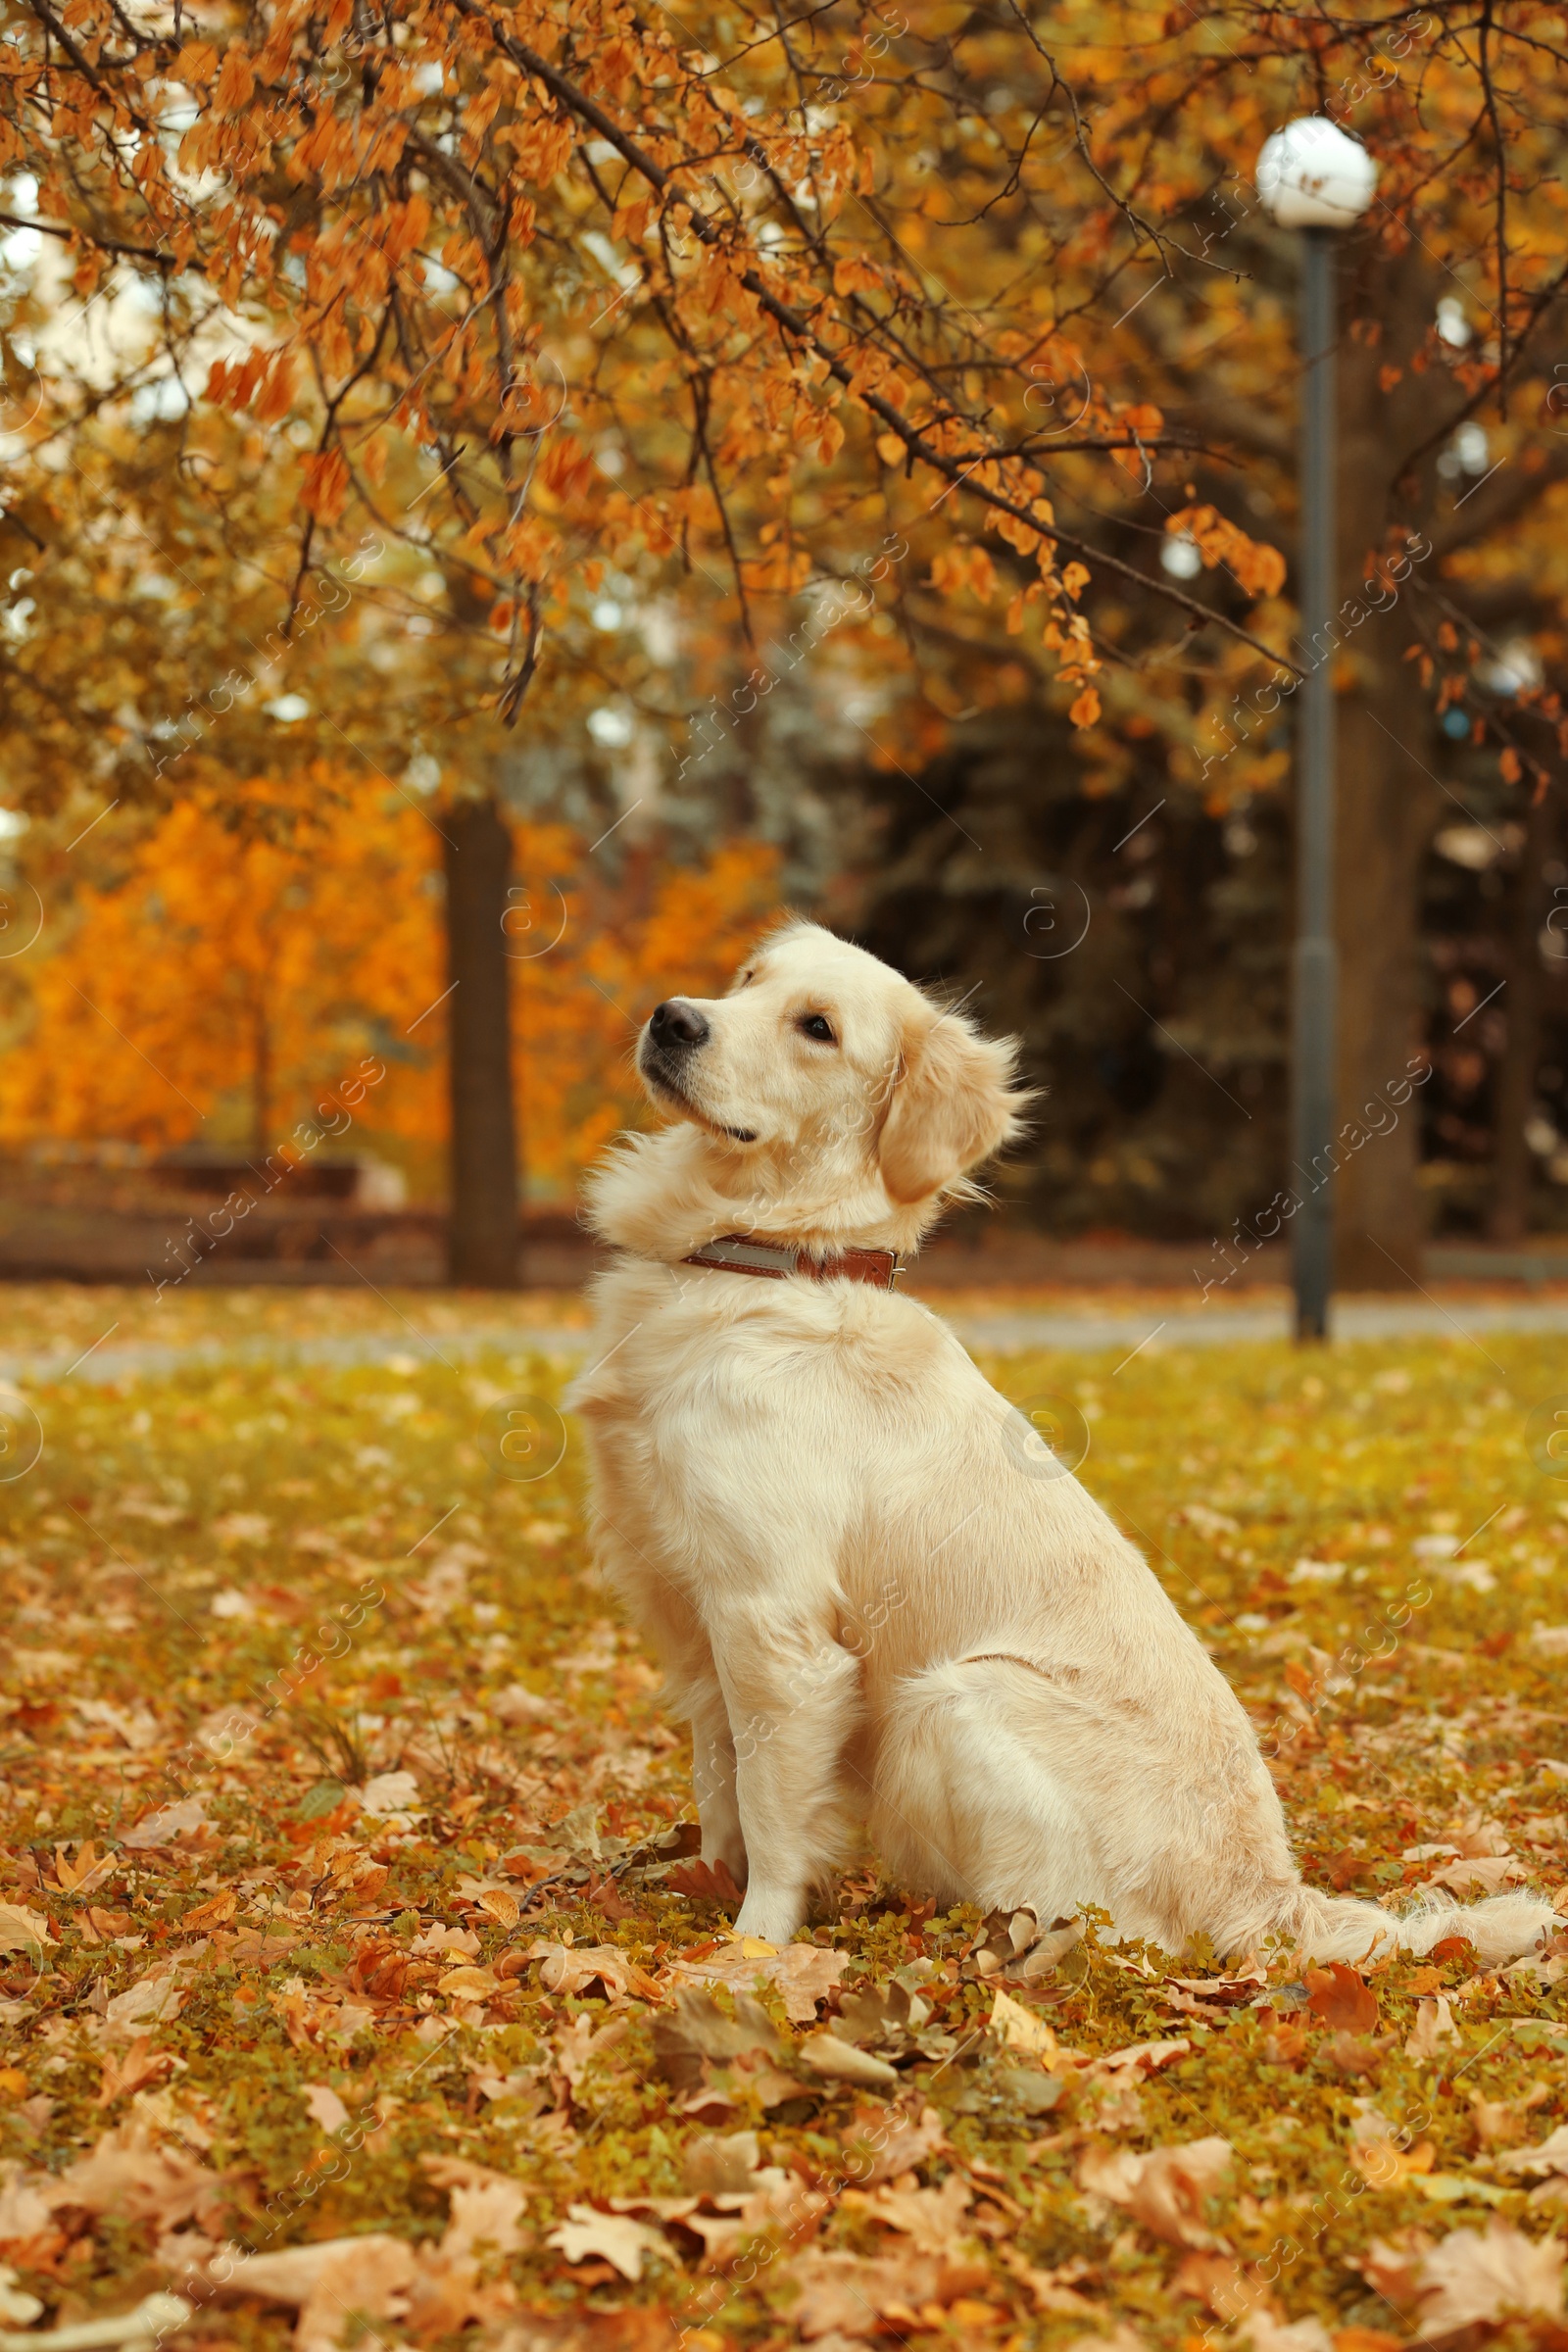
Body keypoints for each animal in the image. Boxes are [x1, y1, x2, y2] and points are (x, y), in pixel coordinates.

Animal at [566, 921, 1560, 1966]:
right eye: (748, 979)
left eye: (817, 1028)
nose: (674, 1020)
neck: (771, 1262)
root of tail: (1269, 1896)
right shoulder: (689, 1602)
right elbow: (718, 1775)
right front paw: (704, 1885)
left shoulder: (772, 1621)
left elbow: (768, 1805)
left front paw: (752, 1950)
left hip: (954, 1696)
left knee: (1073, 1928)